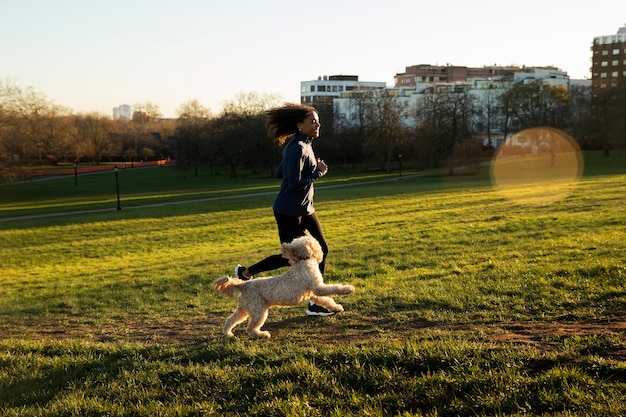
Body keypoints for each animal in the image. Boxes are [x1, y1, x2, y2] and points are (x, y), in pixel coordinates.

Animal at [212, 232, 354, 336]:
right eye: (315, 243)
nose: (322, 250)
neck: (303, 261)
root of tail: (244, 285)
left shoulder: (313, 293)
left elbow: (326, 300)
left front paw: (336, 308)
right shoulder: (318, 288)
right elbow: (334, 288)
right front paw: (349, 289)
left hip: (244, 309)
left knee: (231, 319)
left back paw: (227, 333)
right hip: (259, 312)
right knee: (250, 328)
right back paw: (262, 334)